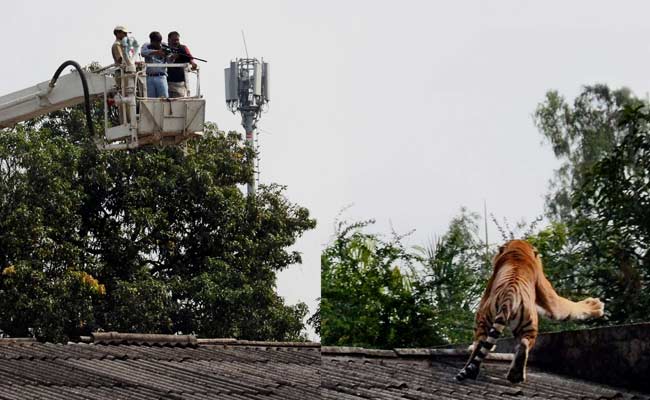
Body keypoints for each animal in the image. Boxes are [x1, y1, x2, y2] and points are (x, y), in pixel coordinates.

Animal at [455, 239, 604, 383]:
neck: (518, 250)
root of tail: (508, 298)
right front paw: (596, 305)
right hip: (528, 324)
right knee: (521, 343)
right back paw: (515, 376)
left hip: (494, 319)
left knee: (485, 342)